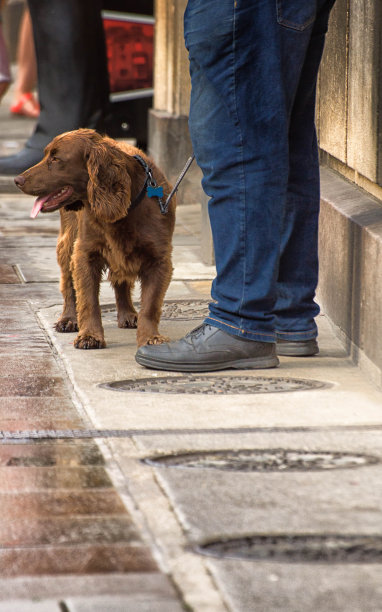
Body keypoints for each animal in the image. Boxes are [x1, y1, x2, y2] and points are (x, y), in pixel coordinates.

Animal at [14, 128, 176, 350]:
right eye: (46, 154)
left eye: (56, 159)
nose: (17, 180)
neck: (124, 209)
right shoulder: (84, 254)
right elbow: (88, 300)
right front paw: (90, 336)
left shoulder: (159, 260)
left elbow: (150, 306)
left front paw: (150, 338)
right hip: (68, 243)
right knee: (68, 283)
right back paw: (68, 319)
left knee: (121, 283)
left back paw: (127, 314)